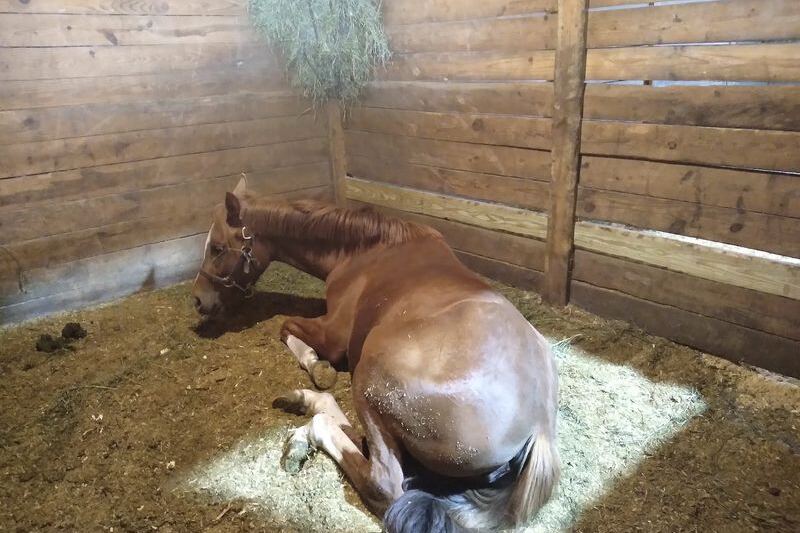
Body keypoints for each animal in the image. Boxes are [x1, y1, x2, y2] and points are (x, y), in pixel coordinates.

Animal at [192, 176, 559, 532]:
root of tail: (538, 426)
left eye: (218, 248)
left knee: (381, 477)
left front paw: (316, 365)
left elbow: (286, 327)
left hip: (370, 379)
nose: (197, 300)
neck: (365, 251)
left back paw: (313, 423)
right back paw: (304, 412)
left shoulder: (333, 335)